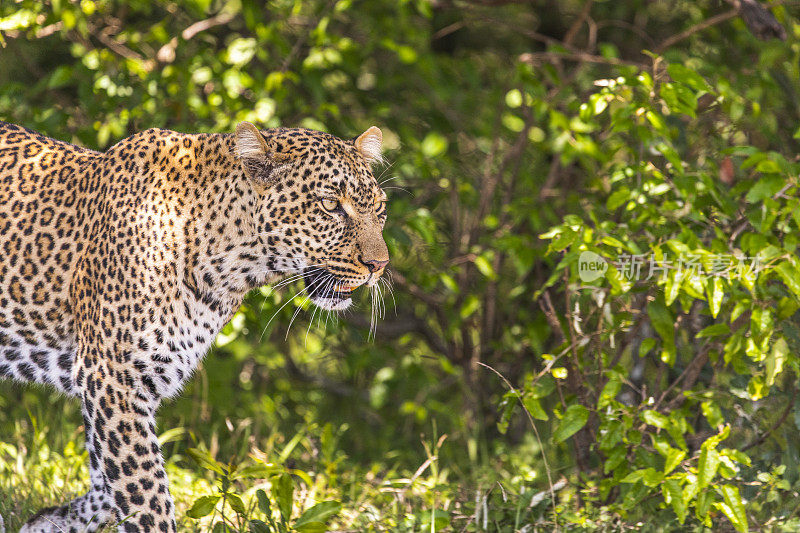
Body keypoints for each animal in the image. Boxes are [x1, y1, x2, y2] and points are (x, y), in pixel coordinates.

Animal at [0, 118, 390, 528]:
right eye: (330, 205)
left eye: (379, 208)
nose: (380, 265)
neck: (229, 268)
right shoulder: (112, 377)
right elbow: (146, 495)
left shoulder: (111, 385)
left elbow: (108, 486)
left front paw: (47, 521)